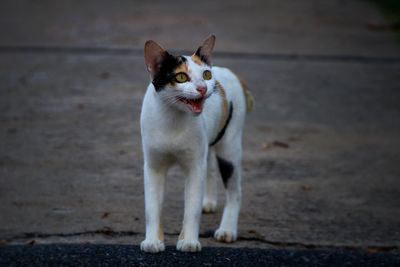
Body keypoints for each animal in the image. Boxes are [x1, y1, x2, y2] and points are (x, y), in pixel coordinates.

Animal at [141, 35, 253, 253]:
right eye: (181, 77)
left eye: (206, 75)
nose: (203, 88)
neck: (173, 120)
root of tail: (231, 73)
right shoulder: (153, 167)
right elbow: (151, 208)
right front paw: (152, 241)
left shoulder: (194, 167)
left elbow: (191, 209)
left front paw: (189, 242)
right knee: (209, 168)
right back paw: (208, 202)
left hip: (229, 150)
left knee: (235, 191)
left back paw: (227, 230)